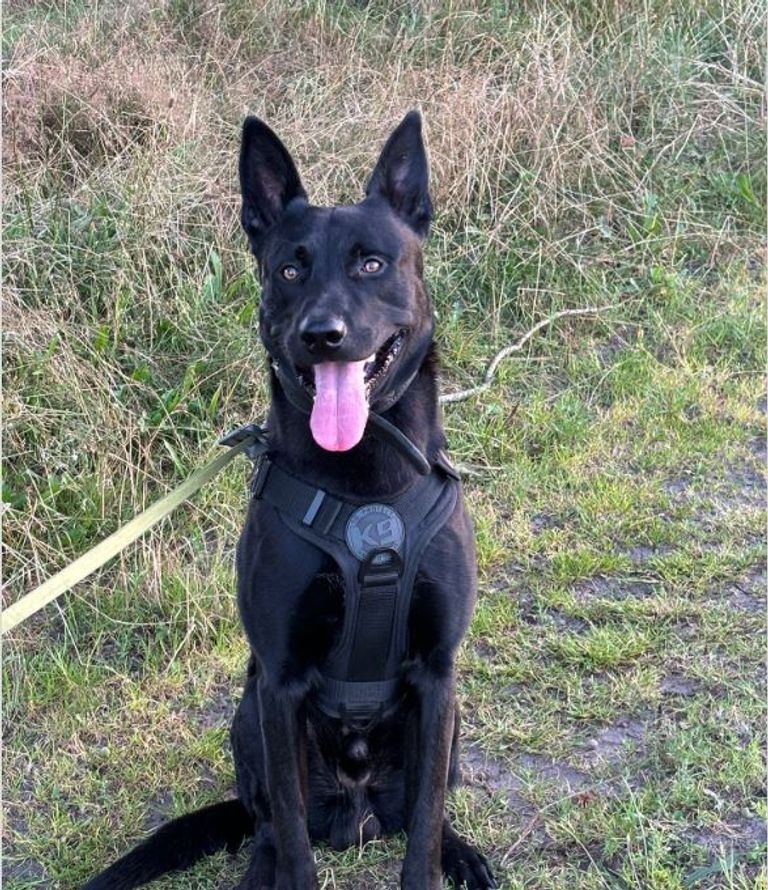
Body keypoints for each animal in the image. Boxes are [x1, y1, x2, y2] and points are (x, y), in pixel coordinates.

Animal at [82, 111, 492, 888]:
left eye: (371, 264)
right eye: (290, 271)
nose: (321, 335)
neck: (363, 482)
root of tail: (359, 816)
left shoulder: (439, 675)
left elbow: (425, 824)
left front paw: (437, 861)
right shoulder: (278, 681)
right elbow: (296, 838)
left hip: (453, 722)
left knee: (426, 808)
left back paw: (465, 852)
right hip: (249, 717)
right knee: (273, 824)